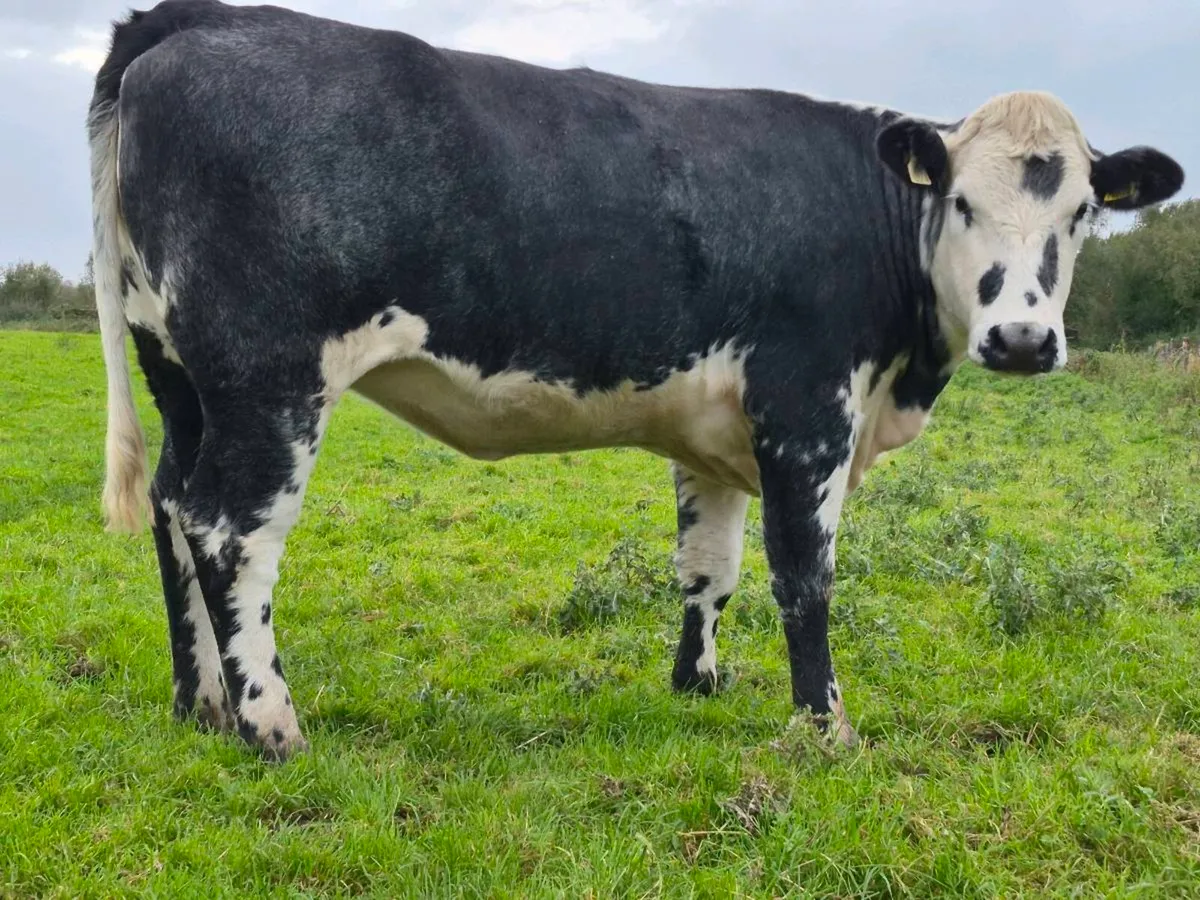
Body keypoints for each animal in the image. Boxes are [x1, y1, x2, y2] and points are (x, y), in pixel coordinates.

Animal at [88, 0, 1184, 760]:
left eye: (1083, 211)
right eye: (960, 202)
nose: (1023, 339)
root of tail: (203, 18)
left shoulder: (718, 430)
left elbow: (710, 566)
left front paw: (698, 684)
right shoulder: (806, 408)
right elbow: (805, 574)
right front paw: (823, 726)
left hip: (177, 371)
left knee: (172, 506)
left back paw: (200, 703)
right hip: (267, 378)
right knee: (232, 530)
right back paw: (269, 723)